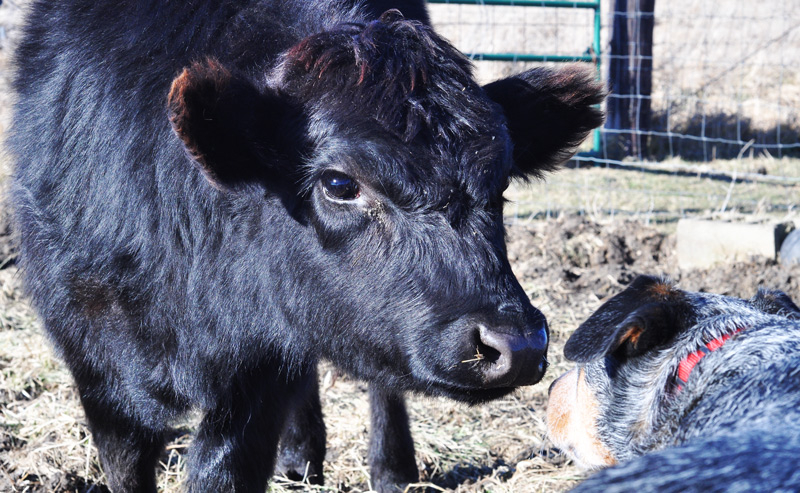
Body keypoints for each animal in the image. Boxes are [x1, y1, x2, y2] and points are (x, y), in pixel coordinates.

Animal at [9, 1, 604, 491]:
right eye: (339, 184)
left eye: (500, 185)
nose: (517, 345)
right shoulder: (94, 363)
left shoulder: (253, 379)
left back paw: (390, 471)